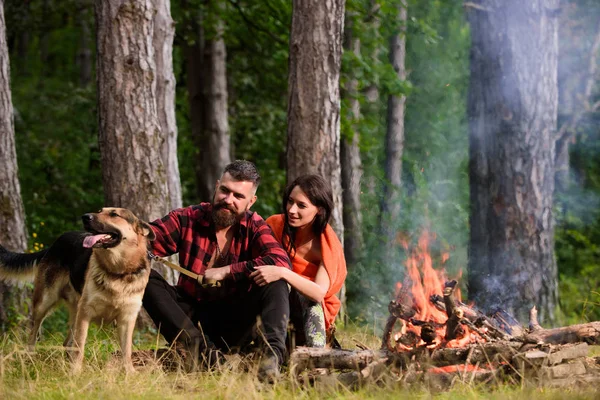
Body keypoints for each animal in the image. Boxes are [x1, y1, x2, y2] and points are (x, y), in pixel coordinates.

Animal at [0, 208, 157, 374]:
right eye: (100, 210)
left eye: (114, 214)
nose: (85, 217)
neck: (117, 272)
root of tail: (55, 243)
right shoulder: (85, 313)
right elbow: (80, 345)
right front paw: (75, 372)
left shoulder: (127, 319)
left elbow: (126, 350)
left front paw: (129, 372)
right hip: (44, 303)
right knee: (34, 332)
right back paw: (30, 358)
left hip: (73, 311)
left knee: (67, 342)